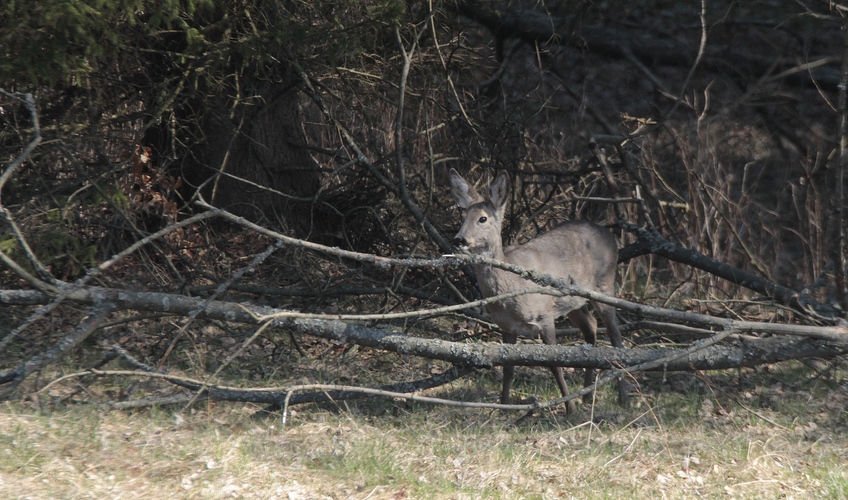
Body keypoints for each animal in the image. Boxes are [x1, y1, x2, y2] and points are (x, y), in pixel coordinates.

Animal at [450, 168, 624, 406]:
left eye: (482, 218)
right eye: (463, 216)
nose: (459, 239)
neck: (509, 290)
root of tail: (611, 236)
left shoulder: (544, 316)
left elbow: (555, 365)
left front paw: (569, 407)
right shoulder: (507, 326)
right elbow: (508, 368)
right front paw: (504, 405)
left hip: (604, 283)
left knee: (615, 334)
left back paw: (623, 395)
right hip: (572, 301)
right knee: (591, 326)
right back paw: (588, 395)